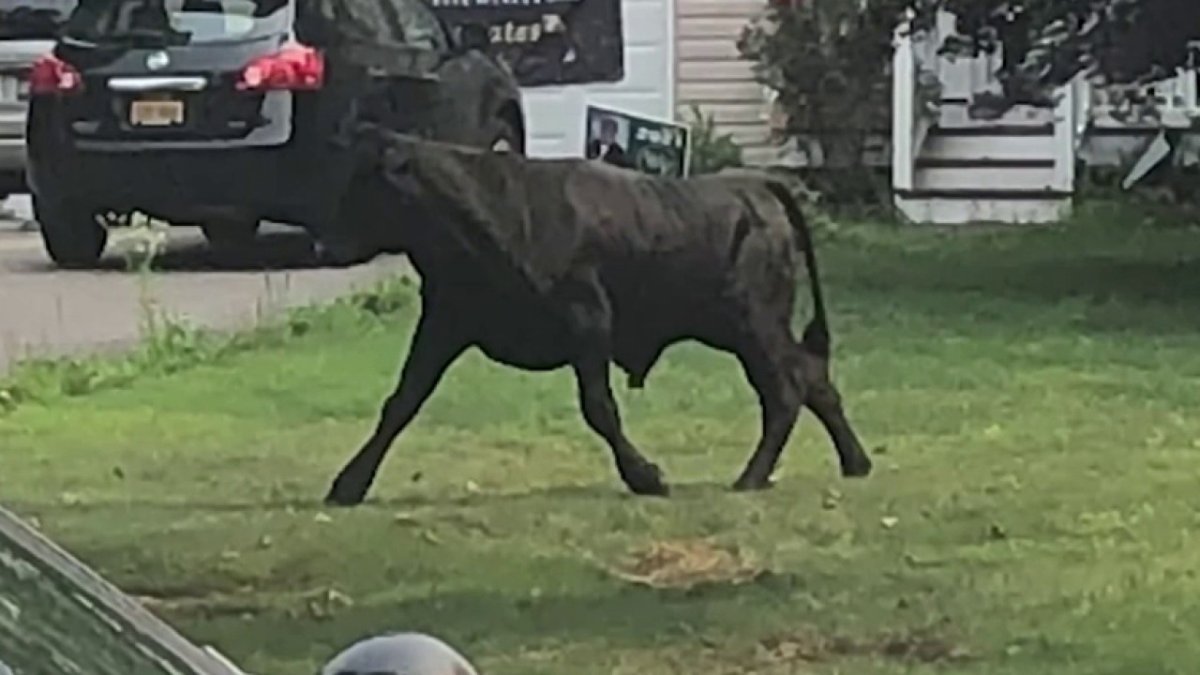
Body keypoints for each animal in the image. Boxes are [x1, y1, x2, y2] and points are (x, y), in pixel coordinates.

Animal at [323, 125, 873, 506]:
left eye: (364, 182)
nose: (322, 242)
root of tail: (755, 185)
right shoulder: (445, 323)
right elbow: (402, 401)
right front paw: (349, 483)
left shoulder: (588, 324)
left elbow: (599, 409)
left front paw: (646, 476)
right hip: (740, 329)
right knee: (813, 379)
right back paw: (855, 462)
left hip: (753, 325)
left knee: (785, 390)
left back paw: (752, 477)